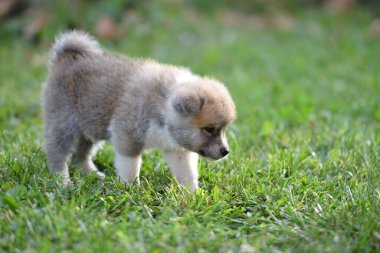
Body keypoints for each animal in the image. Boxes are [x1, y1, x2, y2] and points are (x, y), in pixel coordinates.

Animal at [43, 30, 236, 191]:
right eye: (209, 129)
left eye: (224, 129)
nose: (225, 151)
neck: (162, 105)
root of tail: (66, 57)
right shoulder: (127, 136)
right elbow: (130, 166)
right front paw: (130, 189)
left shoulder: (177, 149)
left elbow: (186, 172)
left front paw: (193, 195)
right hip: (64, 123)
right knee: (57, 152)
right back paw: (62, 180)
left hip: (90, 126)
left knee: (80, 155)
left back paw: (92, 174)